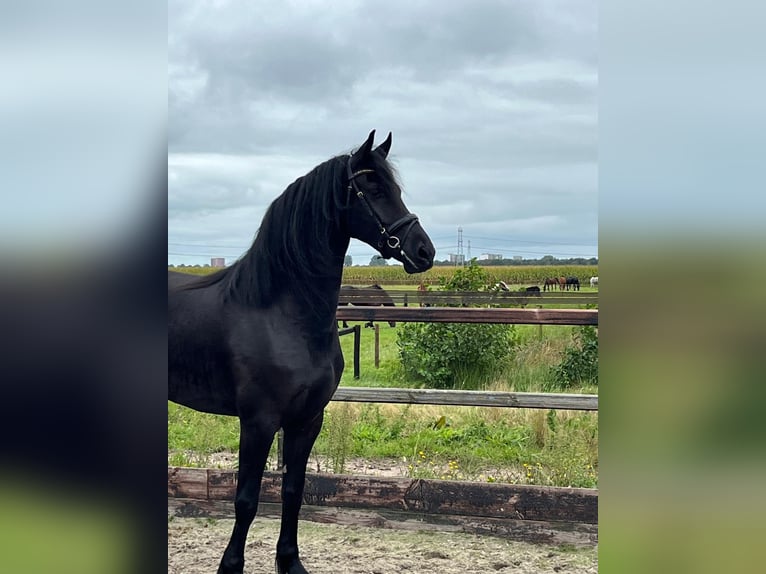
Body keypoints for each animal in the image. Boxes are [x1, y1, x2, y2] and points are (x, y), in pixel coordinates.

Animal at [168, 131, 435, 574]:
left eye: (396, 188)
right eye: (374, 188)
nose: (424, 251)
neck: (280, 313)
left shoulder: (307, 420)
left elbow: (294, 492)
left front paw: (290, 562)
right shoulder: (258, 422)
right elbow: (246, 500)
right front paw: (231, 566)